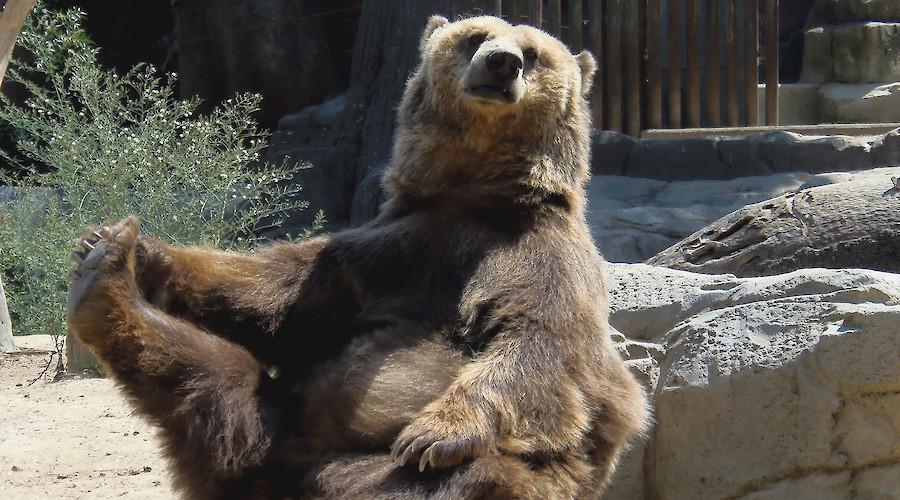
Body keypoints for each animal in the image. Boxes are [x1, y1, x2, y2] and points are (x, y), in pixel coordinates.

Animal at [67, 14, 649, 499]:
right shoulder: (393, 247)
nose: (502, 62)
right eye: (475, 37)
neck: (475, 195)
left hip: (439, 476)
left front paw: (435, 432)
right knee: (212, 379)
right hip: (271, 423)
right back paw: (104, 277)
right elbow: (277, 292)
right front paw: (131, 246)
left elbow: (540, 342)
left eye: (533, 51)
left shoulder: (538, 258)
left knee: (450, 481)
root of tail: (287, 476)